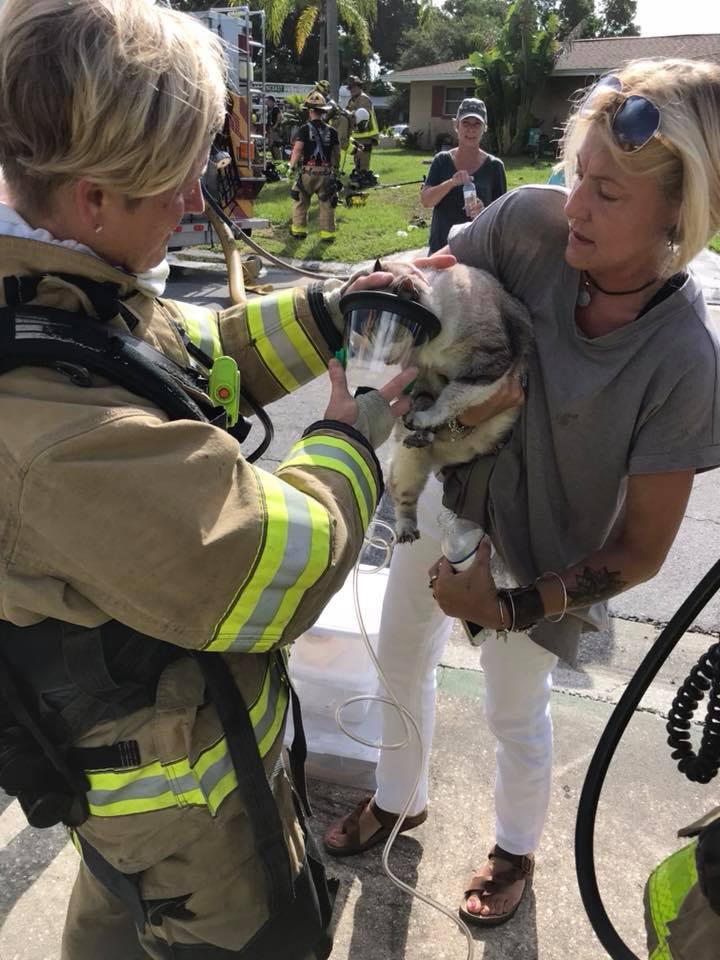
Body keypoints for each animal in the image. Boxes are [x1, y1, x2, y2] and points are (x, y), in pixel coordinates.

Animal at [372, 258, 536, 544]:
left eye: (388, 332)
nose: (381, 358)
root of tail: (441, 461)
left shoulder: (488, 366)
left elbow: (452, 396)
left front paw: (425, 418)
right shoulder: (425, 375)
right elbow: (424, 400)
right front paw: (419, 421)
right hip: (407, 463)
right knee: (404, 497)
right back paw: (406, 529)